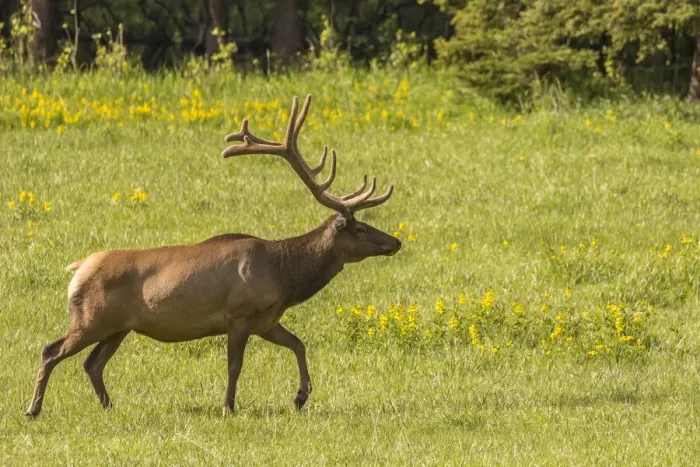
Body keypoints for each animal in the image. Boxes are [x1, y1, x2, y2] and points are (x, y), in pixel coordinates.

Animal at [25, 94, 401, 417]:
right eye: (360, 228)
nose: (395, 242)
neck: (284, 277)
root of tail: (78, 268)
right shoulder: (239, 314)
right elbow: (235, 365)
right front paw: (228, 407)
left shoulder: (266, 320)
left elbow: (299, 344)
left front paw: (300, 397)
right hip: (91, 318)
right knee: (50, 351)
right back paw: (33, 408)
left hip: (119, 326)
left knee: (92, 363)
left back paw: (108, 407)